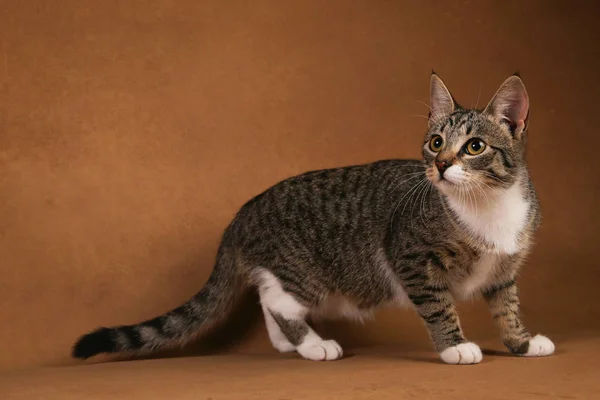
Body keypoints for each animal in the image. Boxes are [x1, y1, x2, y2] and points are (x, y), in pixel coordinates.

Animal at [72, 72, 556, 366]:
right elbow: (438, 305)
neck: (488, 205)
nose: (439, 166)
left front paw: (521, 341)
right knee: (279, 299)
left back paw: (288, 342)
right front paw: (455, 346)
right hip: (306, 271)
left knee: (266, 292)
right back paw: (311, 343)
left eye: (474, 147)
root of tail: (244, 212)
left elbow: (507, 305)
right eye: (435, 142)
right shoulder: (411, 256)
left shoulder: (504, 268)